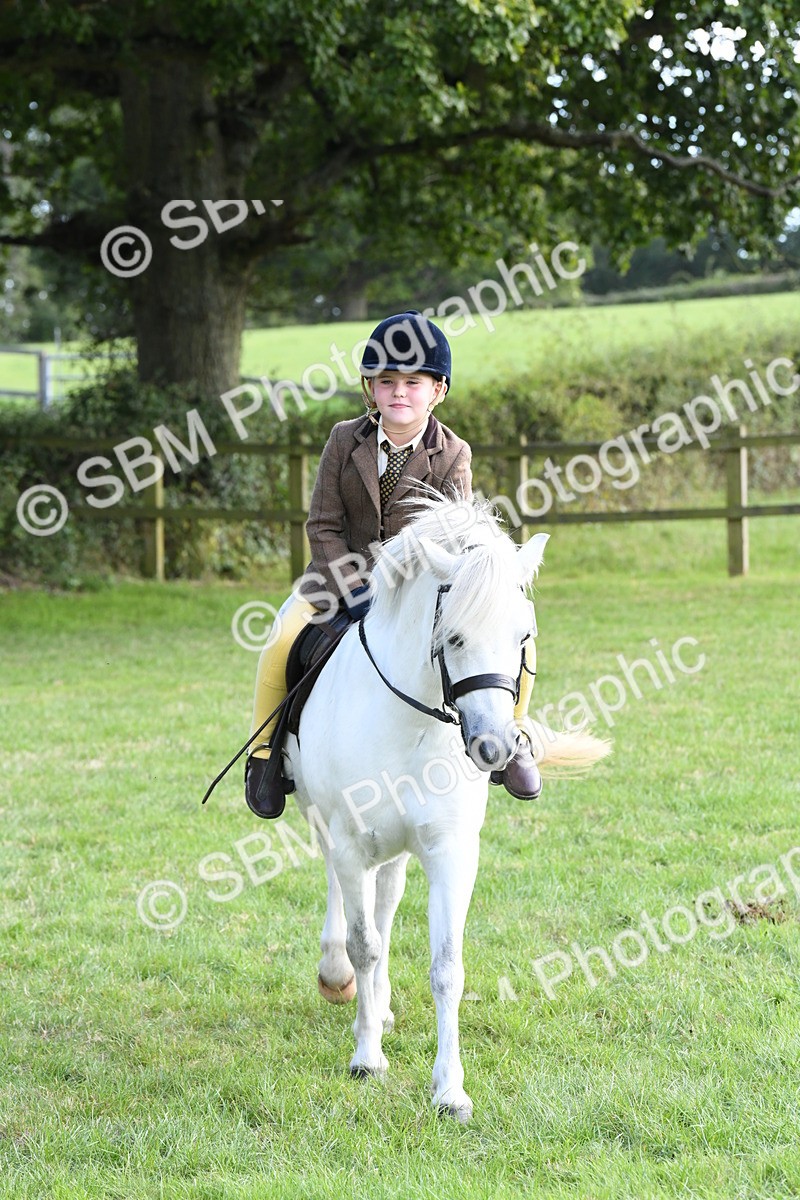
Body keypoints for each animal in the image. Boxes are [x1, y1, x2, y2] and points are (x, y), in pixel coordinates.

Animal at [284, 494, 610, 1123]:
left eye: (523, 636)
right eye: (452, 637)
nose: (494, 748)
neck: (411, 723)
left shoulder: (452, 851)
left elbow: (446, 968)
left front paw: (449, 1090)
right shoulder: (351, 841)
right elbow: (363, 945)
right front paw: (367, 1058)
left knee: (386, 903)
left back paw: (381, 1004)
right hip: (326, 822)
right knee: (343, 896)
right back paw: (338, 977)